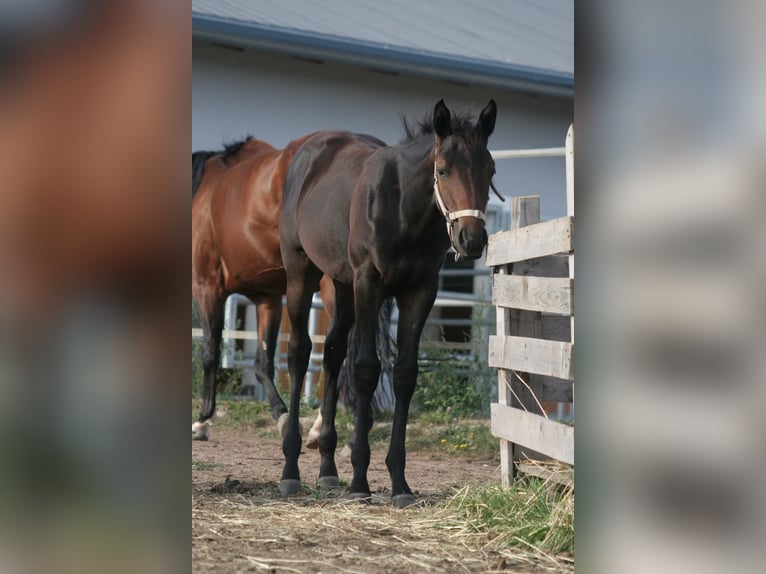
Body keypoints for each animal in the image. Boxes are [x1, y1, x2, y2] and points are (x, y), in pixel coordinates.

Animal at [280, 100, 500, 508]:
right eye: (442, 170)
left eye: (490, 170)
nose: (471, 239)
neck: (403, 209)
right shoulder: (369, 283)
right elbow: (366, 370)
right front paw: (360, 481)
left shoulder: (420, 292)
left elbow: (404, 375)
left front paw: (399, 482)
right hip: (301, 271)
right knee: (299, 353)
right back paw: (290, 470)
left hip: (341, 284)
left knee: (332, 353)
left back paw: (328, 467)